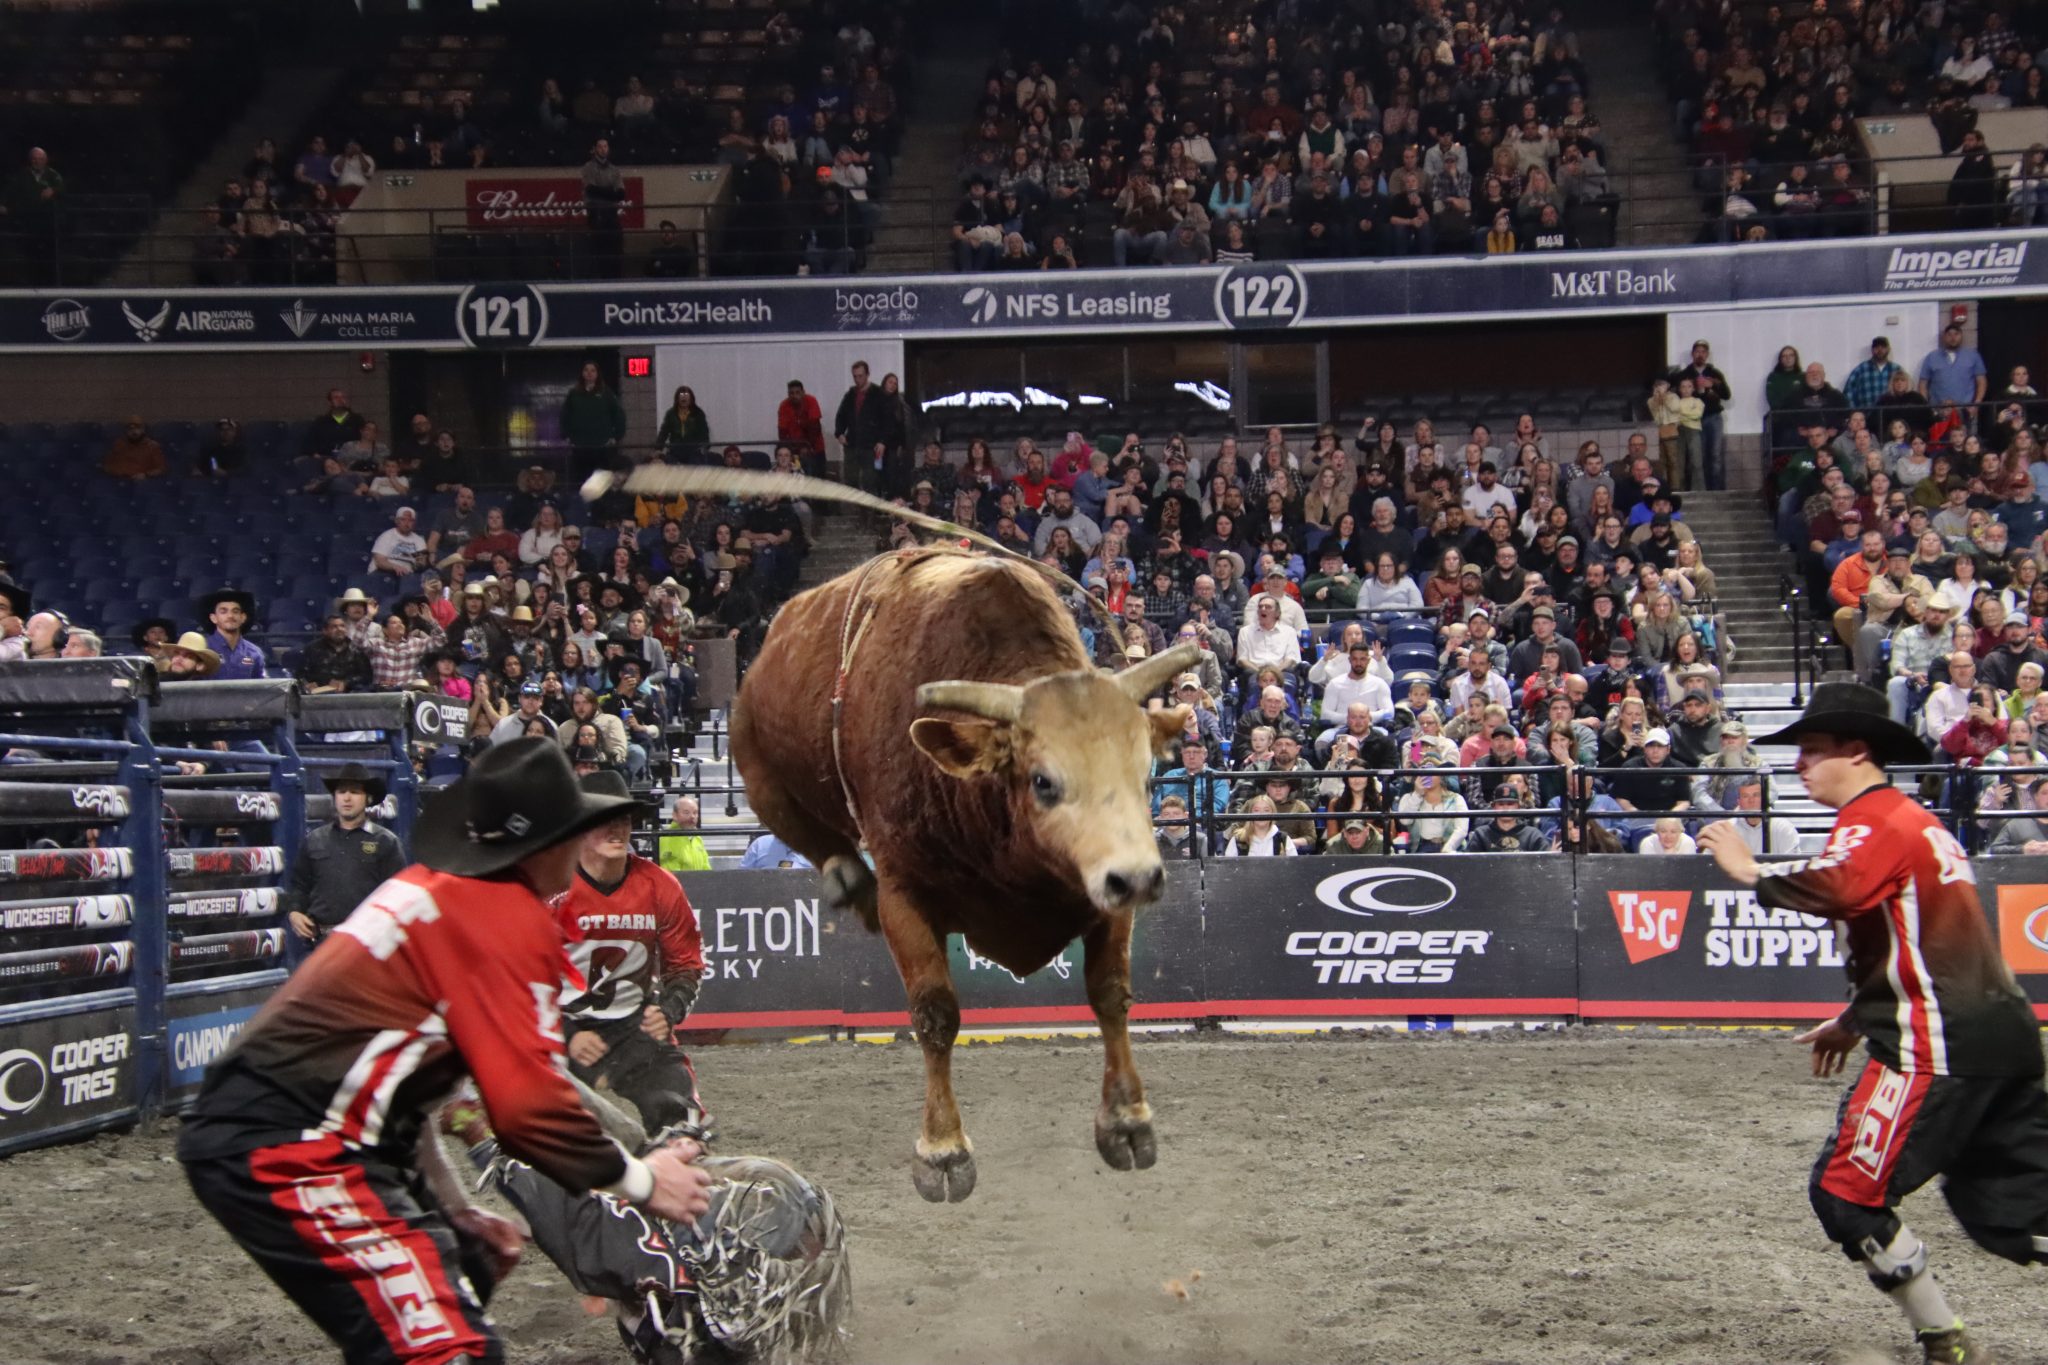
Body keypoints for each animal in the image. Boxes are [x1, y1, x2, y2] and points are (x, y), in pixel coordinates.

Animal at [729, 548, 1196, 1203]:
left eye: (1147, 772)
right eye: (1042, 781)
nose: (1140, 879)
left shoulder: (1106, 892)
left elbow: (1109, 996)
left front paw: (1127, 1122)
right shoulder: (906, 896)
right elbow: (936, 1015)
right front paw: (943, 1149)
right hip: (755, 762)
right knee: (803, 826)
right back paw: (849, 881)